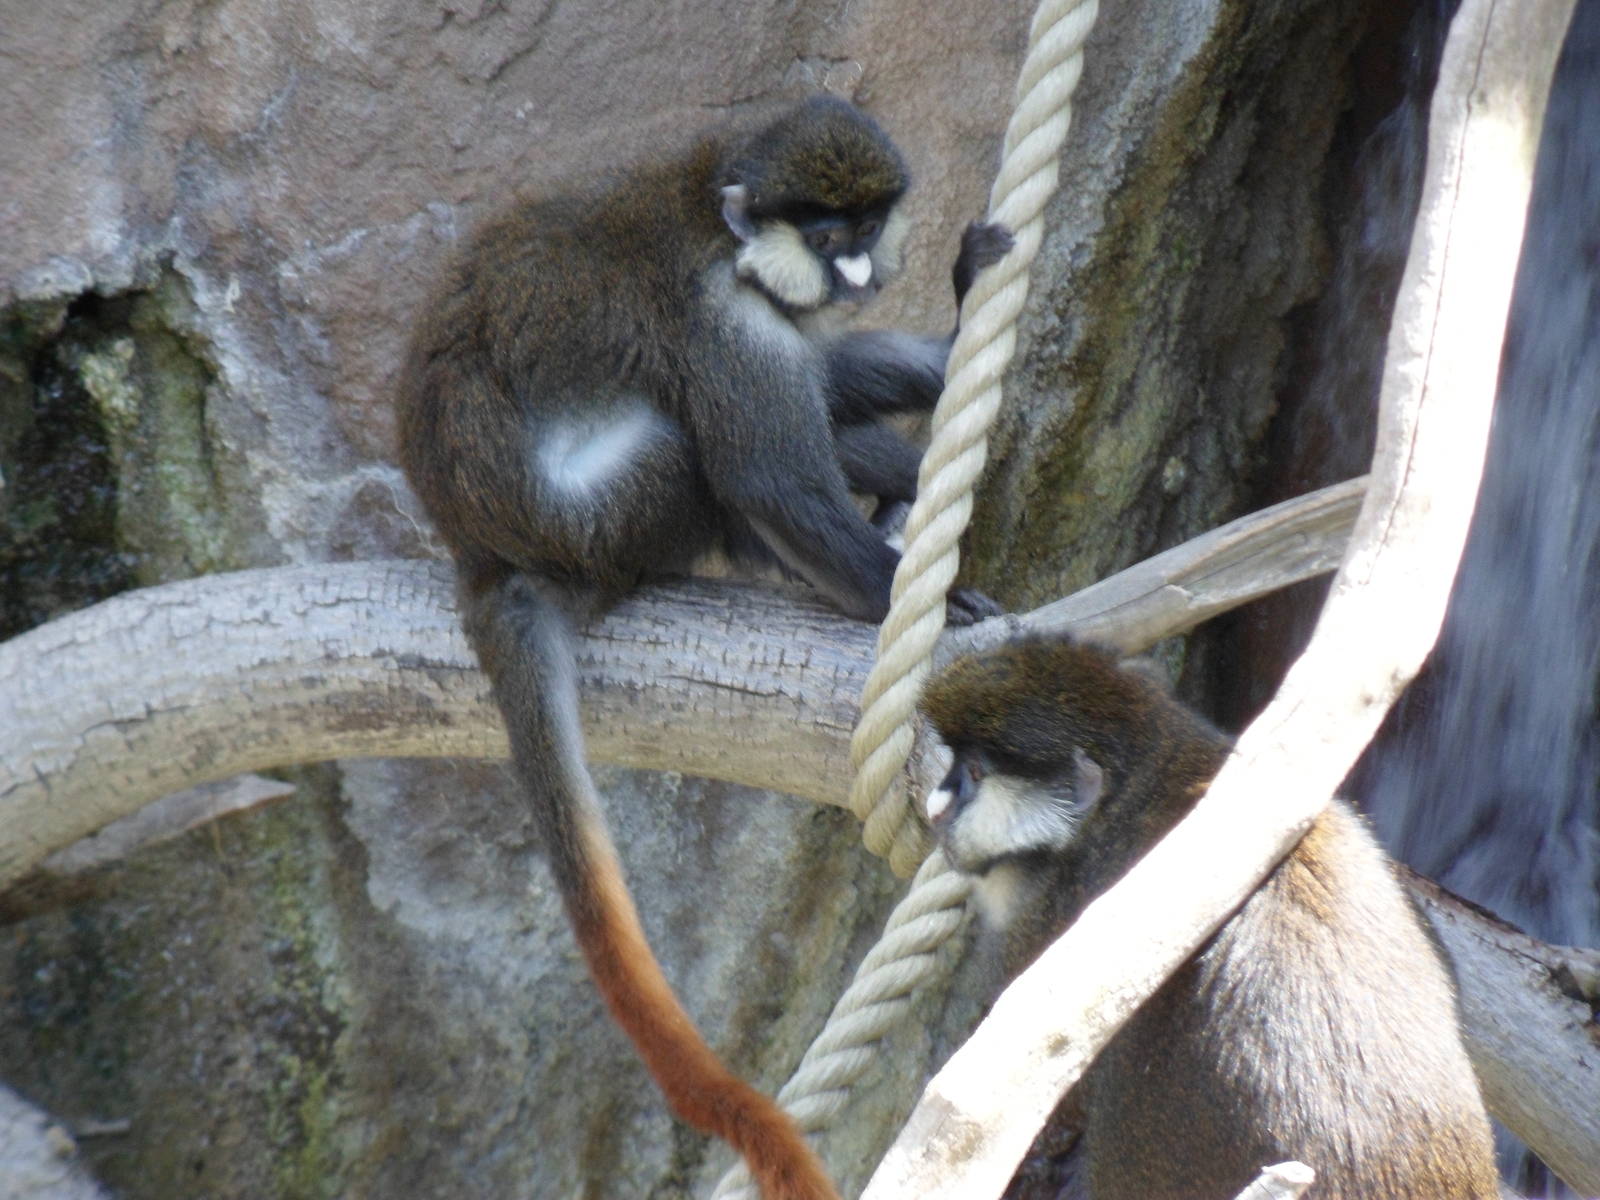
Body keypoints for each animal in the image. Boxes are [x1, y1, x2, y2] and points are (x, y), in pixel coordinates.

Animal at [396, 96, 1007, 1200]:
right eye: (826, 235)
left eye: (864, 227)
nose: (858, 272)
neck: (711, 213)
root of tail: (483, 555)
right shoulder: (725, 321)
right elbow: (767, 476)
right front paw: (924, 605)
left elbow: (825, 377)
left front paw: (961, 307)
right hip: (620, 515)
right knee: (703, 456)